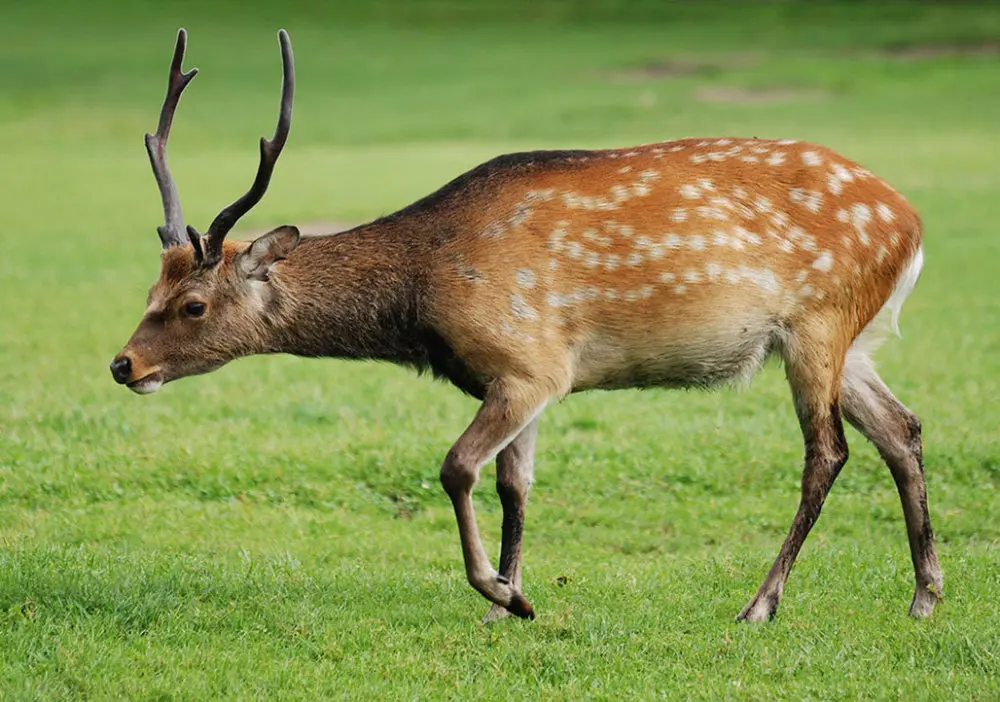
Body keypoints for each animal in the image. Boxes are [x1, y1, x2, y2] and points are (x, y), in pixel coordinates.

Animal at [111, 27, 944, 624]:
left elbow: (457, 467)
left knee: (827, 452)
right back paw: (925, 595)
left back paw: (760, 604)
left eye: (193, 305)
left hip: (818, 320)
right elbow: (516, 483)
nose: (123, 364)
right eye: (151, 285)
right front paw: (509, 601)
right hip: (850, 338)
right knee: (901, 428)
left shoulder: (529, 360)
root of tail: (911, 223)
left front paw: (501, 593)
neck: (422, 296)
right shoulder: (526, 378)